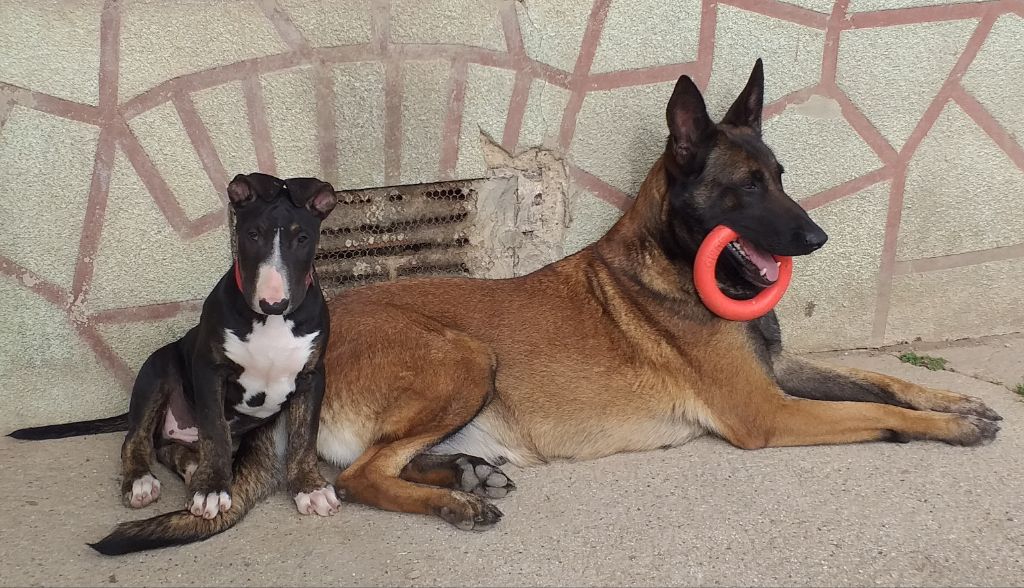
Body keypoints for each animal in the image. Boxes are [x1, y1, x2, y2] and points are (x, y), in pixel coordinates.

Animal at [9, 173, 339, 557]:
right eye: (252, 234)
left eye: (303, 238)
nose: (274, 302)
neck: (271, 323)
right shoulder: (209, 370)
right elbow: (214, 430)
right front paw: (212, 489)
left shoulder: (313, 376)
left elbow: (304, 434)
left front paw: (310, 488)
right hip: (157, 371)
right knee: (137, 439)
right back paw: (143, 481)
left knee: (170, 447)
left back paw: (192, 466)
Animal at [311, 59, 999, 528]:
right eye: (748, 186)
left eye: (780, 177)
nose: (817, 237)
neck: (677, 265)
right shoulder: (769, 412)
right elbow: (874, 409)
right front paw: (950, 428)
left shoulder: (777, 370)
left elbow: (883, 381)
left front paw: (957, 402)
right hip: (468, 357)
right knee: (358, 477)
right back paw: (453, 502)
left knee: (384, 461)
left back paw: (465, 472)